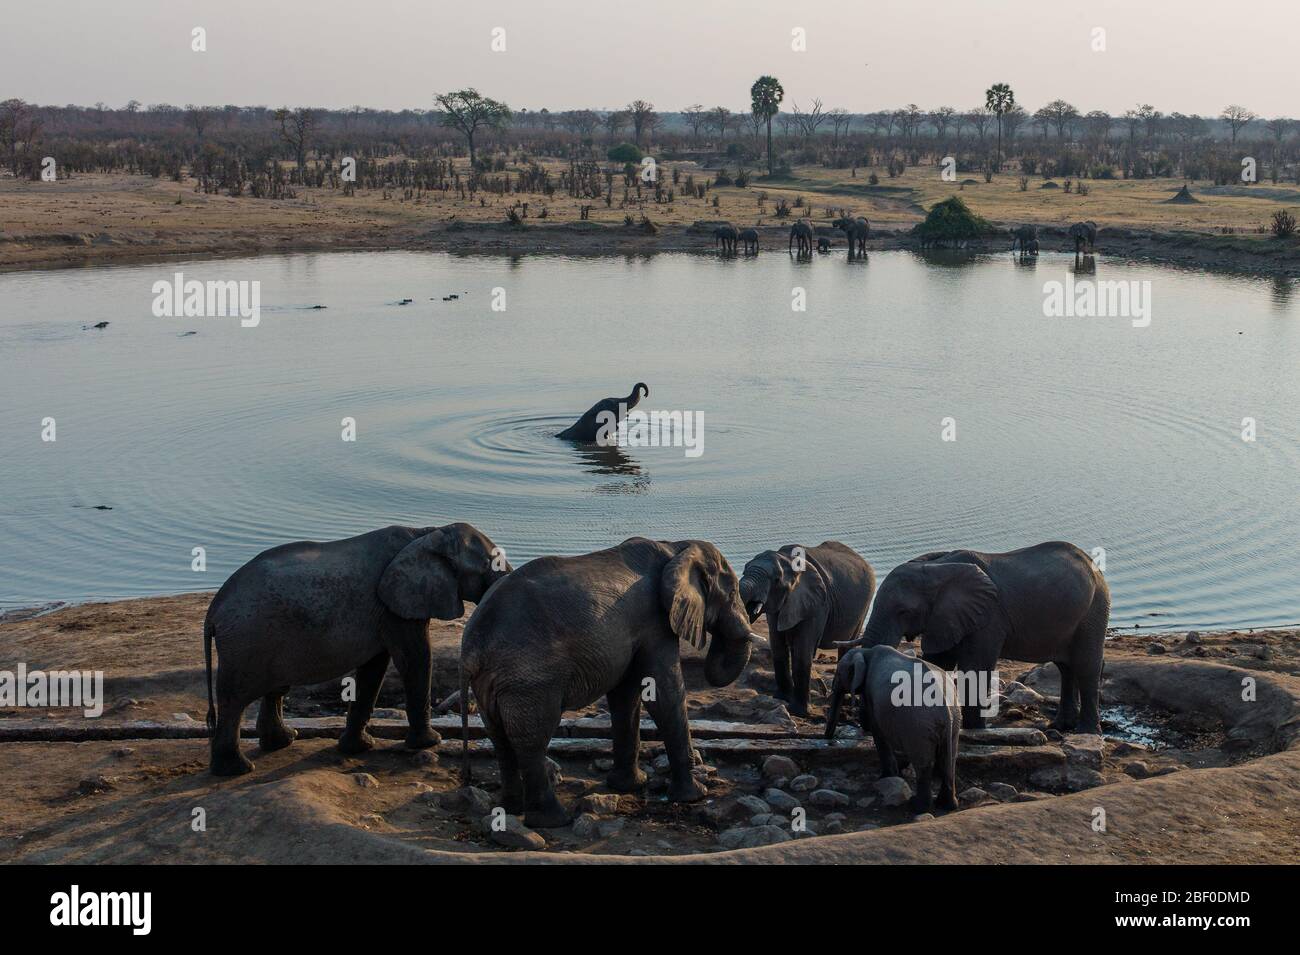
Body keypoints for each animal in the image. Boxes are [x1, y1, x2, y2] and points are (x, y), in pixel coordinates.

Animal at [202, 522, 506, 779]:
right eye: (489, 565)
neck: (427, 533)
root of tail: (214, 611)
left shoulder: (385, 610)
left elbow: (374, 668)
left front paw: (358, 747)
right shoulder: (396, 608)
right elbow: (415, 659)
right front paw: (430, 742)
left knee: (274, 689)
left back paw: (284, 741)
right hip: (246, 643)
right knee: (234, 700)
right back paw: (236, 770)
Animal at [462, 537, 759, 831]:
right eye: (733, 591)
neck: (676, 548)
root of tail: (472, 648)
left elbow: (625, 697)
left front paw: (628, 786)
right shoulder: (655, 622)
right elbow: (663, 692)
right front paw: (694, 795)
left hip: (494, 682)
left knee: (499, 736)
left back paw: (510, 809)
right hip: (529, 680)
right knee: (531, 739)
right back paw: (553, 821)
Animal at [738, 545, 878, 717]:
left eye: (776, 580)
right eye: (744, 571)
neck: (788, 559)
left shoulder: (817, 606)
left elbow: (802, 654)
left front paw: (798, 712)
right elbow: (778, 648)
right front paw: (781, 699)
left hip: (864, 607)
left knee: (847, 647)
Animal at [826, 647, 961, 810]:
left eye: (839, 673)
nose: (829, 740)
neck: (865, 652)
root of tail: (946, 711)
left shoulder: (871, 694)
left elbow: (877, 730)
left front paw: (885, 777)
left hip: (918, 725)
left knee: (924, 764)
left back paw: (918, 806)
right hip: (953, 723)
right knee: (949, 760)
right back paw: (948, 805)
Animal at [842, 540, 1107, 738]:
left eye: (903, 612)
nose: (866, 728)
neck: (936, 568)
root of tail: (1090, 562)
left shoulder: (989, 616)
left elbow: (975, 666)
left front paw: (976, 730)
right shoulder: (946, 617)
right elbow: (938, 661)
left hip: (1094, 610)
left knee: (1086, 666)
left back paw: (1086, 732)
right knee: (1066, 667)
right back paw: (1060, 726)